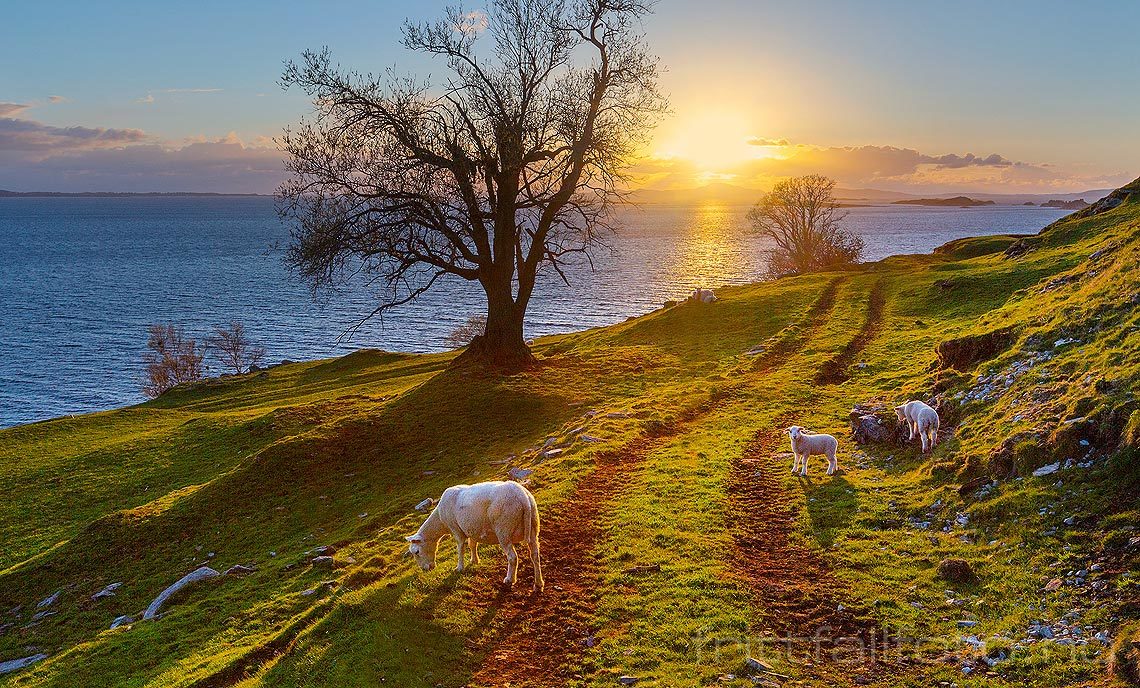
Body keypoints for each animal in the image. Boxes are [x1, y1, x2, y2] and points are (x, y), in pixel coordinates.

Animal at [408, 478, 544, 592]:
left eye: (416, 552)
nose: (425, 569)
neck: (441, 521)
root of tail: (523, 496)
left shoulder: (456, 529)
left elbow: (460, 548)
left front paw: (459, 568)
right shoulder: (472, 529)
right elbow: (472, 544)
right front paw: (474, 560)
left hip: (504, 530)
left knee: (512, 557)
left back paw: (510, 579)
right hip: (534, 528)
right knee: (535, 555)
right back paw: (538, 584)